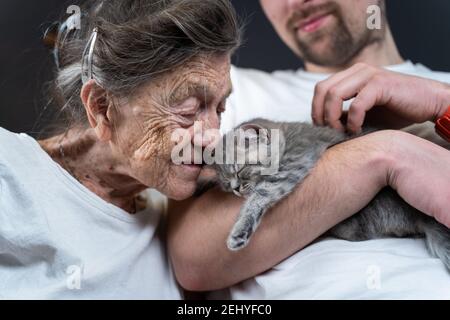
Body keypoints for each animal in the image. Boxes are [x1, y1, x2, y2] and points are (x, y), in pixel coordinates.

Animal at [211, 119, 450, 268]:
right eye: (225, 183)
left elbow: (261, 195)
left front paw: (239, 232)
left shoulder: (295, 161)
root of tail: (422, 216)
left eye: (239, 170)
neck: (286, 136)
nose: (235, 188)